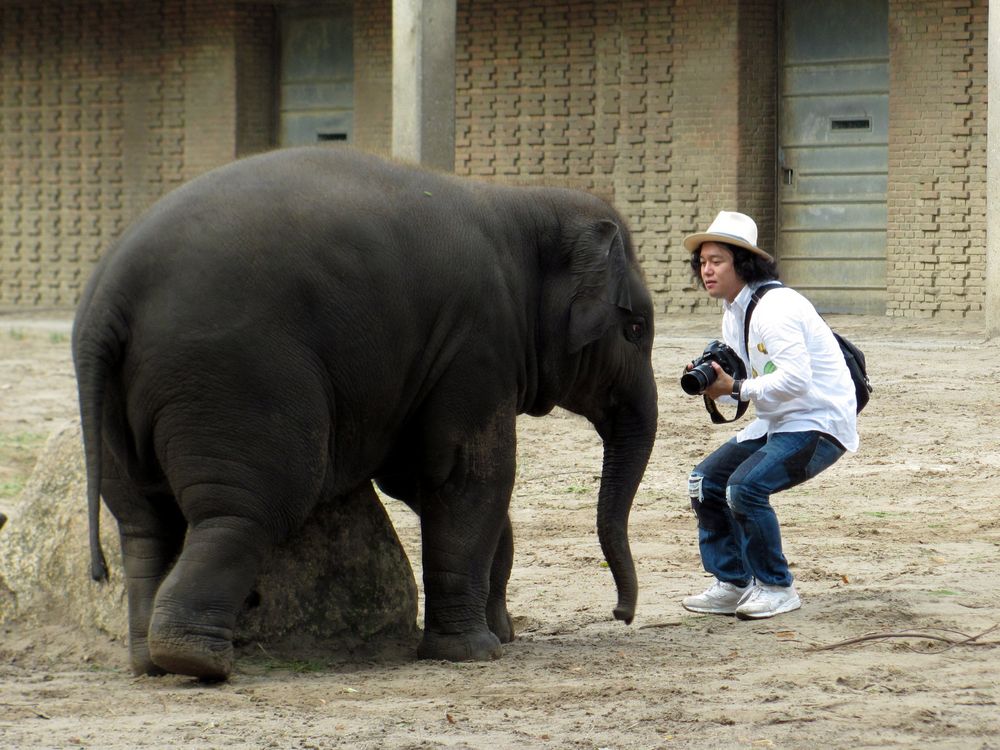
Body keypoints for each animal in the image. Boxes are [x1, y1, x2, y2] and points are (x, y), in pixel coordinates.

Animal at [74, 145, 660, 680]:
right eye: (635, 329)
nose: (621, 614)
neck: (521, 202)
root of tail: (108, 299)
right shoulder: (478, 342)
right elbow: (469, 475)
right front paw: (476, 652)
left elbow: (417, 476)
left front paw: (501, 633)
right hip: (234, 378)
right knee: (247, 509)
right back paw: (198, 661)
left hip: (118, 409)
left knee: (144, 523)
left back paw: (149, 662)